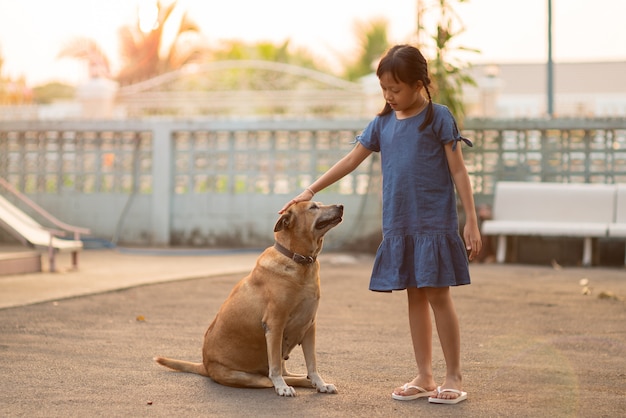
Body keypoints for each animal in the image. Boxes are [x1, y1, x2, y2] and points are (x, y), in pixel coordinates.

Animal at [154, 201, 344, 396]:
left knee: (288, 373)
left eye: (320, 204)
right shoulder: (274, 325)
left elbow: (312, 364)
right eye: (313, 207)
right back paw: (288, 383)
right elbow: (275, 368)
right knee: (270, 378)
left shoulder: (309, 326)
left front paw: (320, 383)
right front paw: (282, 387)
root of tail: (205, 365)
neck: (300, 261)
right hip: (249, 376)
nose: (340, 206)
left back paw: (308, 381)